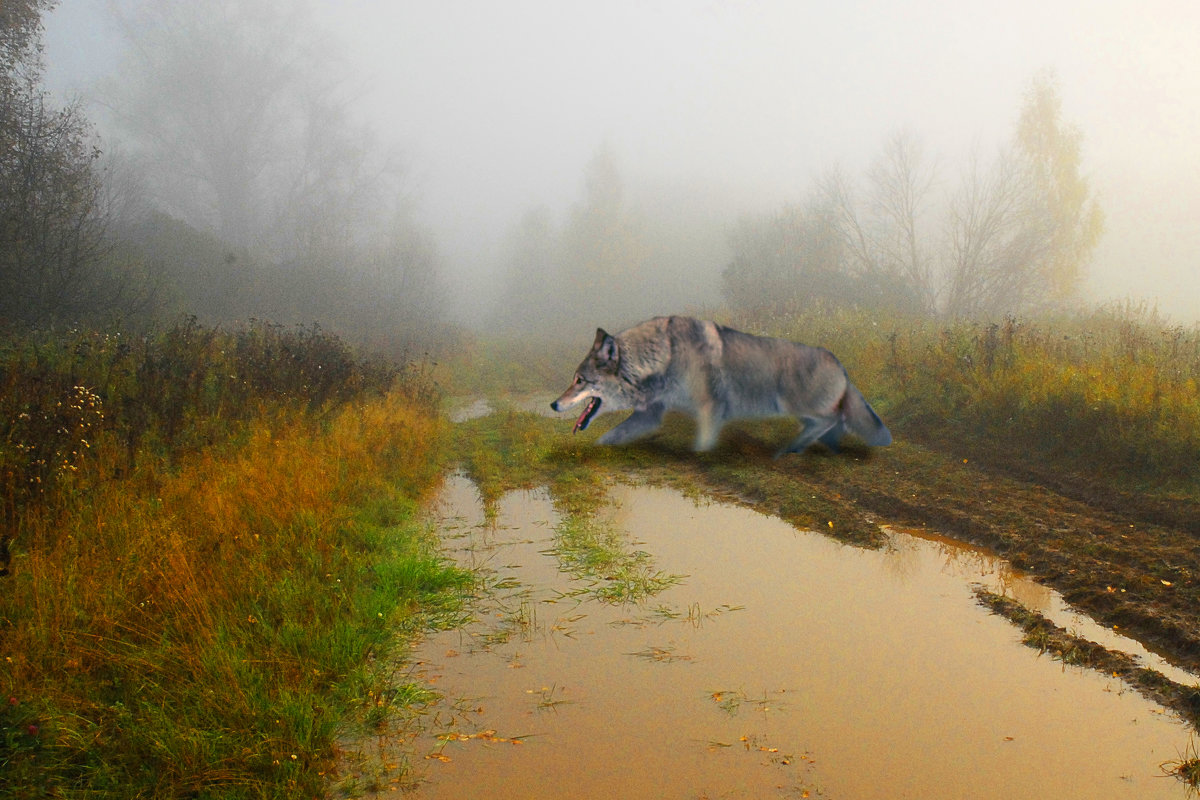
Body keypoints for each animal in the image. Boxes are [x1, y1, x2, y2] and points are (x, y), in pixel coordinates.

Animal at [552, 316, 892, 455]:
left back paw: (791, 449)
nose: (554, 404)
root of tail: (840, 363)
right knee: (833, 426)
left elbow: (703, 444)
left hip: (795, 405)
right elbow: (608, 437)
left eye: (579, 380)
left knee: (832, 419)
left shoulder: (709, 409)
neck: (662, 355)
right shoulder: (649, 415)